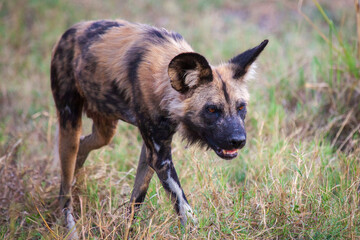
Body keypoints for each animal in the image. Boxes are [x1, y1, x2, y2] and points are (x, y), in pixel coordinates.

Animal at [52, 18, 268, 232]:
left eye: (241, 107)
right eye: (212, 110)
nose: (238, 141)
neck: (164, 84)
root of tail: (70, 31)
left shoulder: (150, 152)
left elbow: (136, 200)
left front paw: (128, 231)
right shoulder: (160, 158)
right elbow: (183, 205)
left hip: (105, 130)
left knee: (84, 146)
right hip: (70, 124)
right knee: (65, 188)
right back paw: (69, 225)